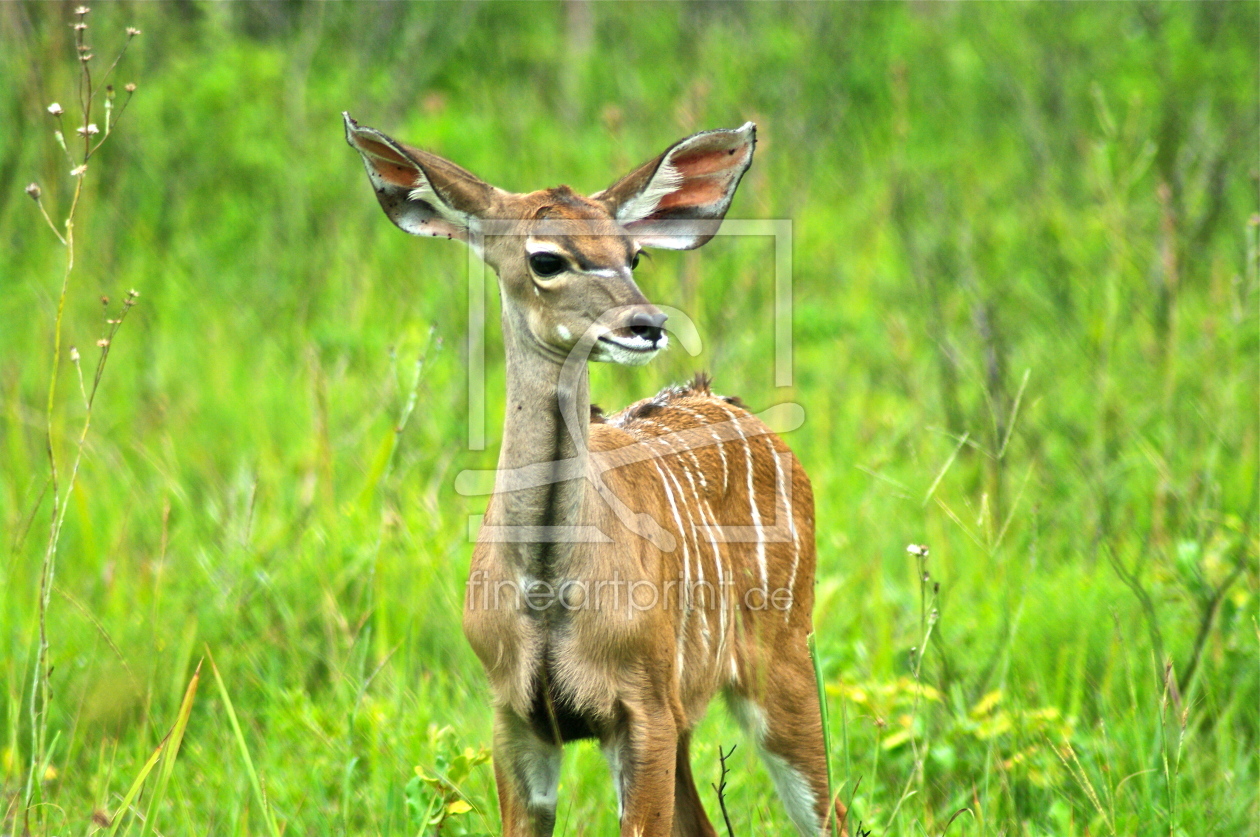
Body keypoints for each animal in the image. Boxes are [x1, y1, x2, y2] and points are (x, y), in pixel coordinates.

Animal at [345, 112, 846, 837]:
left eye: (634, 255)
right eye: (546, 258)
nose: (648, 324)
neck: (547, 593)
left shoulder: (639, 709)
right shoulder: (517, 718)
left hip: (782, 657)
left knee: (833, 810)